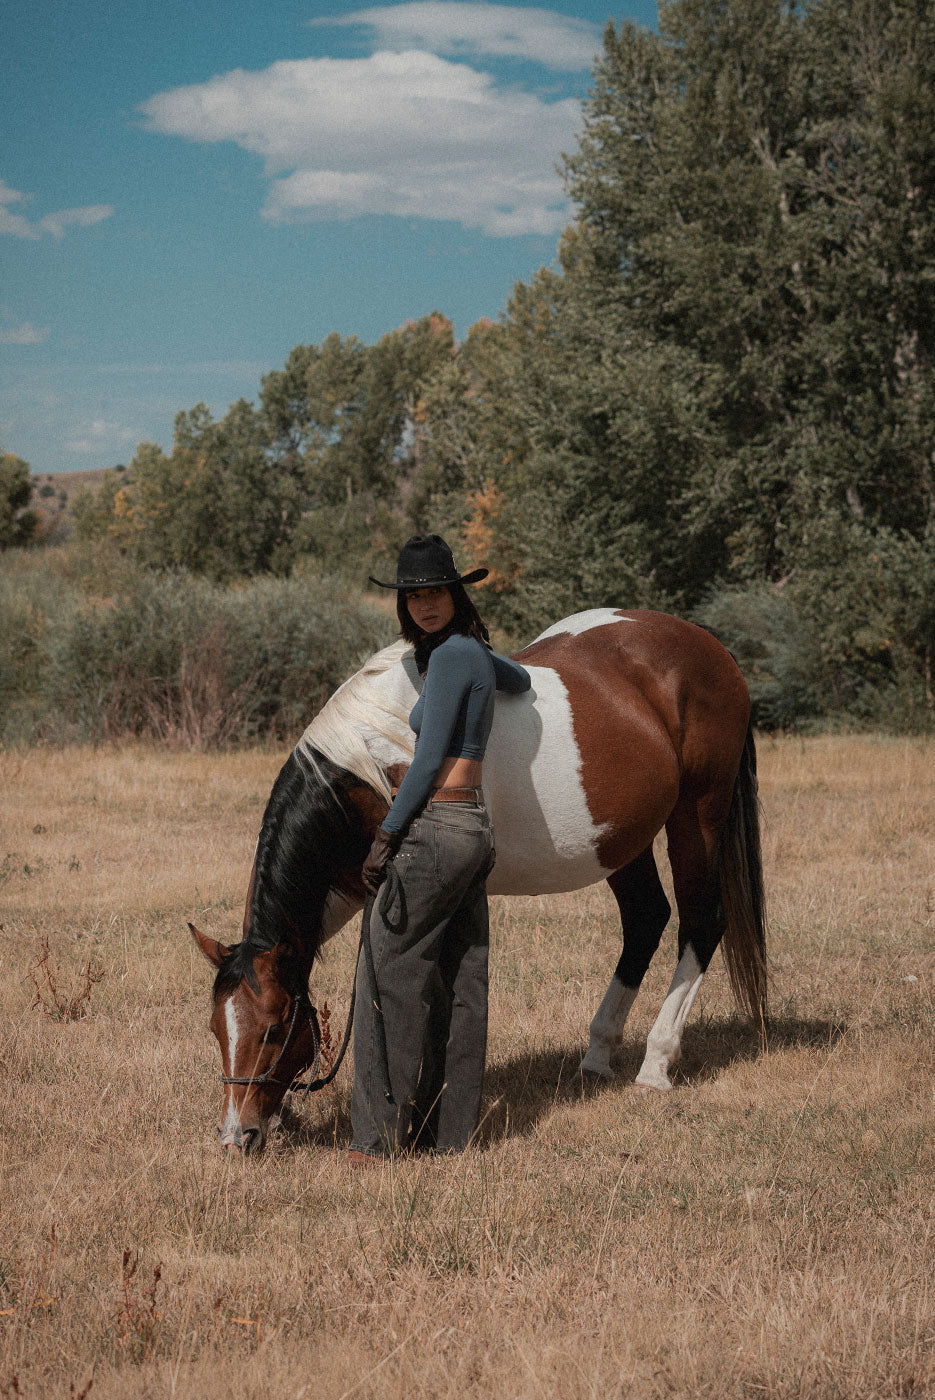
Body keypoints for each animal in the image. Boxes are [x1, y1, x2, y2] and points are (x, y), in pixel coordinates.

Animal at [191, 607, 767, 1153]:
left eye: (273, 1028)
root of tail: (709, 647)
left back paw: (656, 1064)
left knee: (700, 922)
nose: (237, 1135)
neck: (371, 761)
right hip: (624, 841)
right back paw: (599, 1053)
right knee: (647, 919)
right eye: (217, 1027)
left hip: (698, 814)